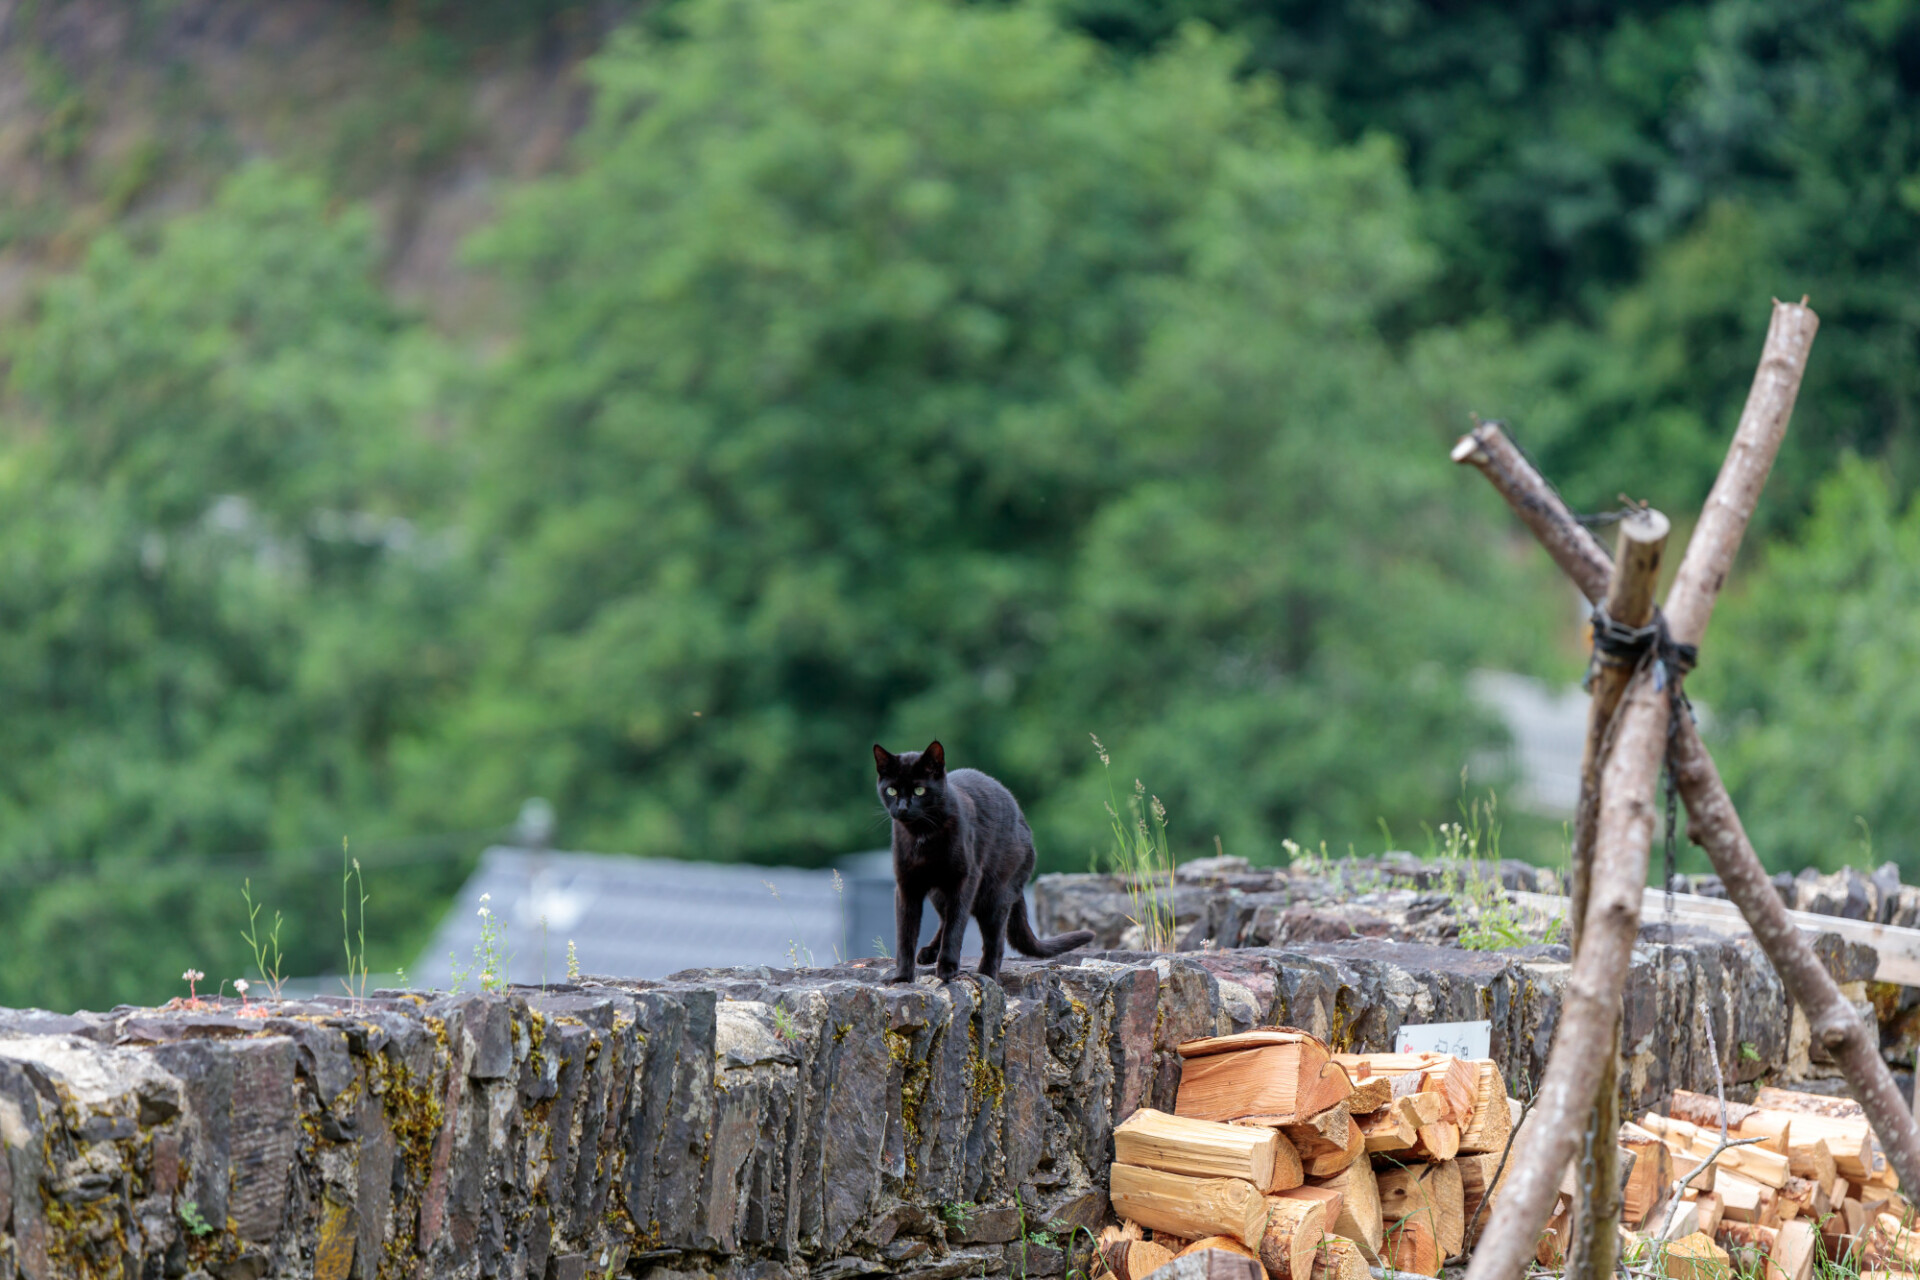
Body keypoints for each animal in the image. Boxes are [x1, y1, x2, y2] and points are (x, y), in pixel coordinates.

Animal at [875, 740, 1098, 982]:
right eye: (891, 790)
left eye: (919, 790)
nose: (903, 808)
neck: (922, 834)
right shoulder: (906, 885)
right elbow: (906, 934)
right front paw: (902, 977)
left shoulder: (965, 879)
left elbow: (956, 926)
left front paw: (948, 968)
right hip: (940, 893)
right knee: (945, 919)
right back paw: (930, 953)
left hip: (995, 894)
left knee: (995, 942)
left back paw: (986, 976)